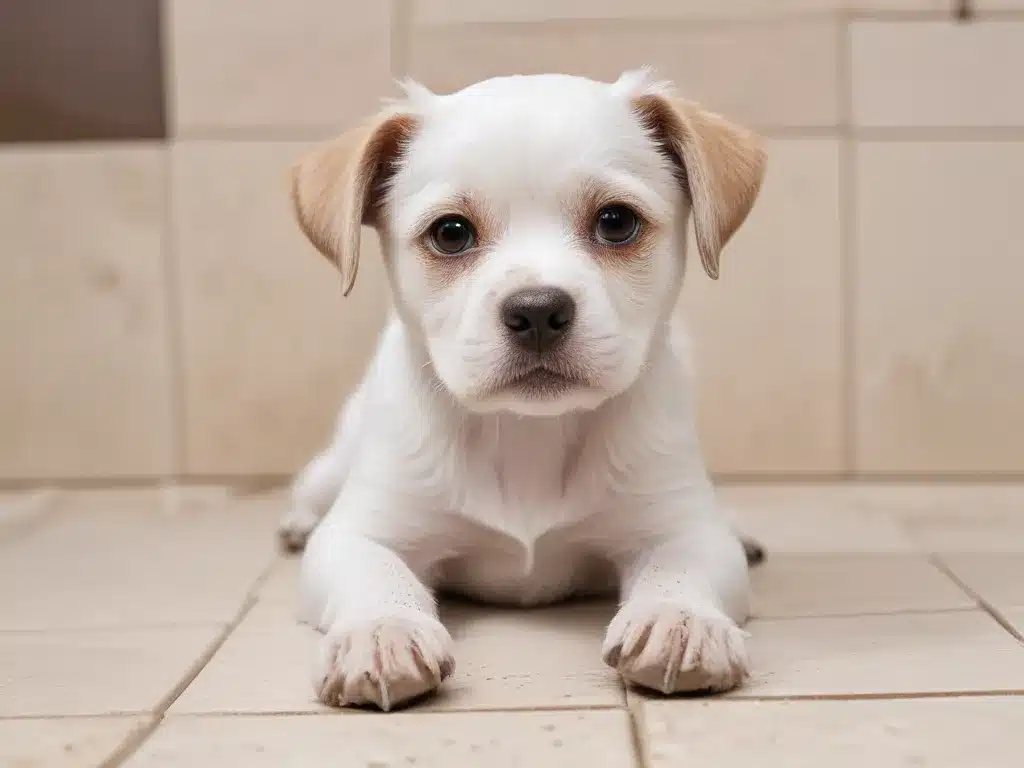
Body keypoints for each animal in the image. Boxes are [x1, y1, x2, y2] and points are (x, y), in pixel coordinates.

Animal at [282, 69, 770, 712]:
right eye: (451, 233)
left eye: (616, 222)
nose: (538, 310)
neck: (529, 435)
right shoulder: (361, 532)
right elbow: (376, 574)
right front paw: (382, 629)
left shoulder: (680, 526)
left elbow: (681, 568)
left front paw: (678, 619)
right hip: (335, 465)